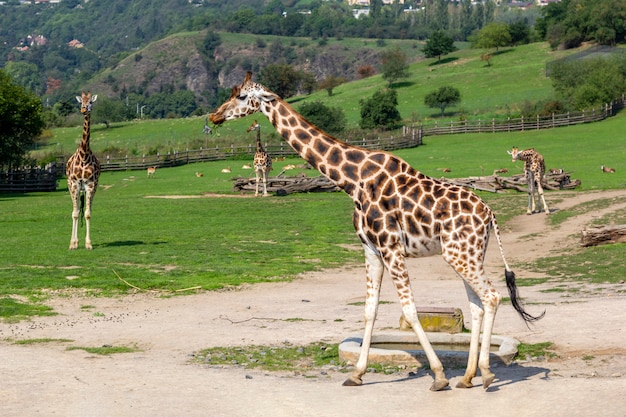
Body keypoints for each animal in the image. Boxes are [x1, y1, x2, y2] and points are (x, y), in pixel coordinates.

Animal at [210, 72, 540, 390]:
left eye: (242, 96)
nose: (214, 116)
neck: (353, 181)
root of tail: (490, 214)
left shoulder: (391, 247)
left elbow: (409, 309)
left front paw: (438, 375)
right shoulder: (371, 248)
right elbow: (369, 309)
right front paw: (356, 374)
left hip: (461, 255)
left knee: (492, 297)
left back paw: (485, 374)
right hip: (467, 254)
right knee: (477, 305)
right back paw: (468, 377)